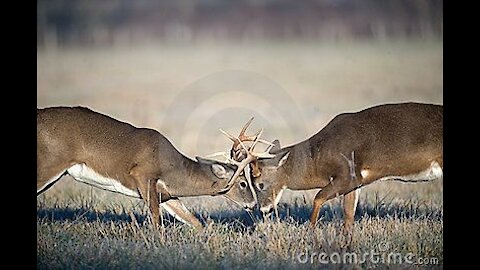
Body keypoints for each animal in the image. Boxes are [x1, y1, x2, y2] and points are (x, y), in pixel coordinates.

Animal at [36, 106, 258, 229]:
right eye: (243, 183)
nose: (253, 204)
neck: (172, 168)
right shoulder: (143, 175)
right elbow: (156, 223)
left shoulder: (166, 194)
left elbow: (195, 222)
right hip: (50, 163)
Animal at [221, 103, 442, 240]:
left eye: (259, 184)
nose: (263, 209)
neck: (318, 158)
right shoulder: (355, 182)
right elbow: (349, 215)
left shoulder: (347, 174)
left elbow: (318, 197)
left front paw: (310, 234)